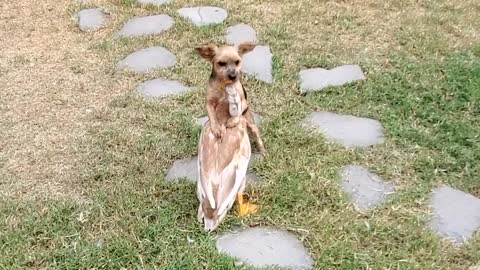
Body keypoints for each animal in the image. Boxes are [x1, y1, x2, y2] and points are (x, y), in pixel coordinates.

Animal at [194, 41, 262, 230]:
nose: (233, 76)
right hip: (239, 180)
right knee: (237, 197)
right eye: (221, 64)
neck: (223, 120)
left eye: (237, 62)